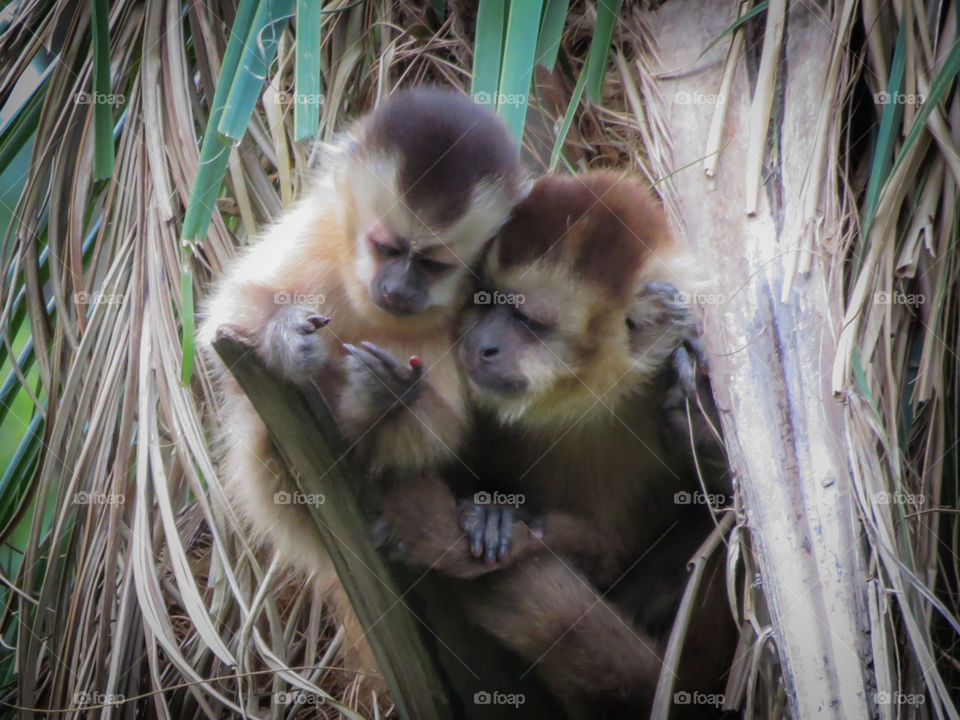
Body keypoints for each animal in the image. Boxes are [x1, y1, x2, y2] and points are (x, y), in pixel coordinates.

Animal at [196, 87, 528, 680]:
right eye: (388, 248)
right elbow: (227, 321)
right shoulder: (317, 230)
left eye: (433, 265)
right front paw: (284, 337)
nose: (398, 289)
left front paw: (385, 394)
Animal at [377, 172, 736, 718]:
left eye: (529, 323)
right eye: (486, 298)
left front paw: (699, 426)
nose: (483, 345)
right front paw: (496, 511)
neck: (585, 396)